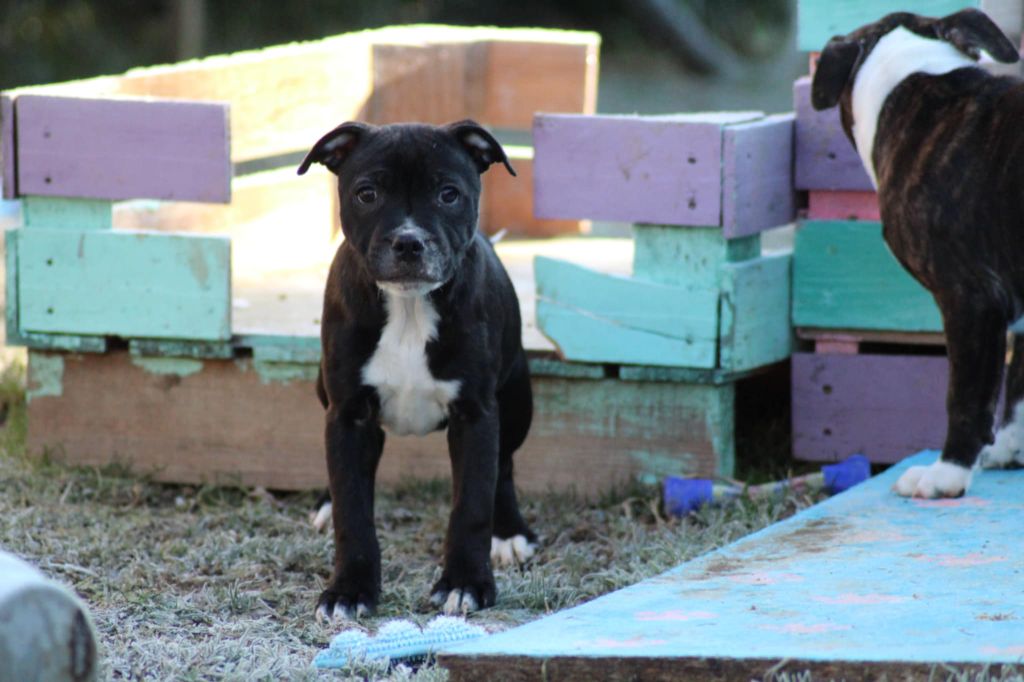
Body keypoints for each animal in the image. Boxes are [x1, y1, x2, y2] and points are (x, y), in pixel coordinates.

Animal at [296, 120, 536, 614]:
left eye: (449, 194)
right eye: (367, 194)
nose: (409, 241)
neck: (408, 309)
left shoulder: (476, 415)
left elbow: (472, 505)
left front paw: (466, 582)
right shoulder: (348, 414)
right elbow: (352, 508)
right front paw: (350, 588)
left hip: (516, 399)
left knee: (504, 466)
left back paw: (509, 532)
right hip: (325, 391)